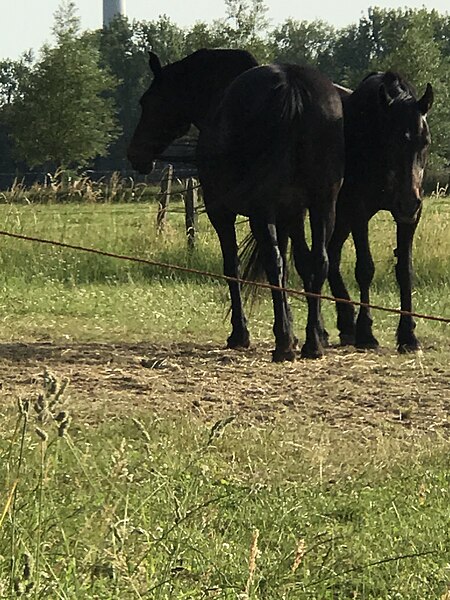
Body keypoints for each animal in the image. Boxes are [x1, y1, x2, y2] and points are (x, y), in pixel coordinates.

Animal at [127, 49, 344, 360]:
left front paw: (241, 334)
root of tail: (292, 86)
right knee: (318, 261)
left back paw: (283, 344)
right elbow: (299, 265)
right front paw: (309, 332)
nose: (135, 154)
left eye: (147, 101)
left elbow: (233, 267)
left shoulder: (222, 213)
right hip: (323, 205)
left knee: (273, 261)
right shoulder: (291, 213)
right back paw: (312, 343)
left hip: (263, 210)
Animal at [330, 71, 432, 352]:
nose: (408, 202)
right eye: (392, 141)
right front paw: (366, 333)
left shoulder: (410, 217)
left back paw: (346, 324)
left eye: (425, 141)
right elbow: (365, 269)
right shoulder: (358, 212)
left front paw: (408, 335)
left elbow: (405, 271)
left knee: (331, 255)